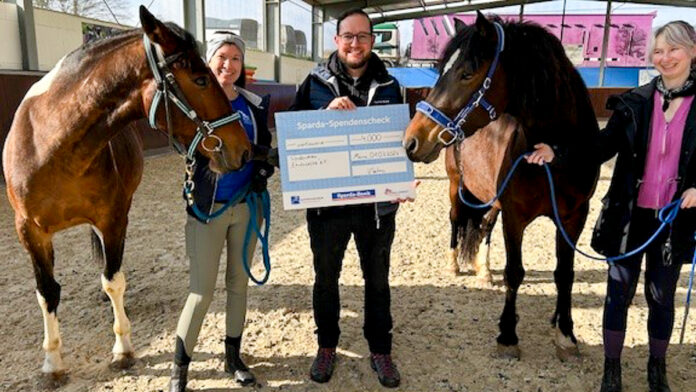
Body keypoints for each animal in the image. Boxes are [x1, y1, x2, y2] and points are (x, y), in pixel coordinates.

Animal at [1, 6, 251, 380]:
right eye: (201, 79)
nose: (244, 150)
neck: (51, 146)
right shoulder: (30, 231)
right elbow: (47, 292)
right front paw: (53, 362)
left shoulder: (113, 219)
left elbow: (114, 280)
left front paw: (122, 348)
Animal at [406, 13, 600, 362]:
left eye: (467, 73)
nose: (413, 140)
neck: (554, 153)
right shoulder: (515, 216)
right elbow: (515, 272)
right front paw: (507, 335)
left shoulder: (573, 217)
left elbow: (564, 274)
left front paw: (565, 334)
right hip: (456, 187)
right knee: (456, 221)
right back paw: (455, 264)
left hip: (490, 199)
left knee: (484, 227)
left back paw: (484, 269)